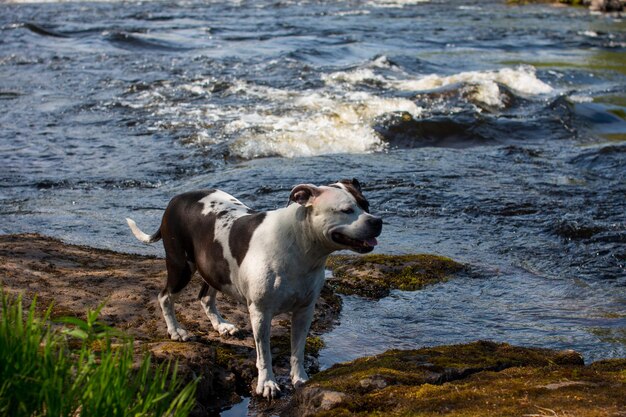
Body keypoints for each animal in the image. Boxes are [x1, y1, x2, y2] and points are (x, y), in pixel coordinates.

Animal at [125, 178, 380, 396]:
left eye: (366, 204)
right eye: (346, 210)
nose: (376, 221)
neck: (300, 245)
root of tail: (176, 199)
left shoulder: (304, 311)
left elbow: (297, 350)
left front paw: (300, 378)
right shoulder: (260, 313)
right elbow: (264, 354)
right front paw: (267, 384)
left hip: (216, 268)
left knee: (205, 296)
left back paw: (221, 326)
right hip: (181, 266)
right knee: (165, 296)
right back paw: (176, 331)